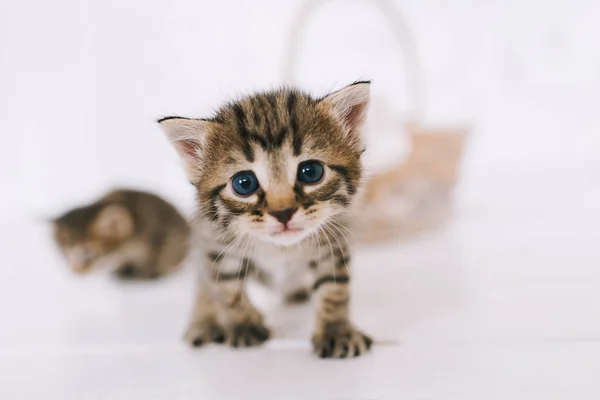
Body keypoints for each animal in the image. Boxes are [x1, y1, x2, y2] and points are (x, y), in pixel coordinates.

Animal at [158, 81, 376, 360]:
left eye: (311, 172)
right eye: (244, 183)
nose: (283, 212)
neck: (280, 248)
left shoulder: (333, 237)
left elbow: (334, 288)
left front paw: (336, 331)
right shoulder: (215, 242)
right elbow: (225, 287)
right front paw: (243, 325)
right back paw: (203, 321)